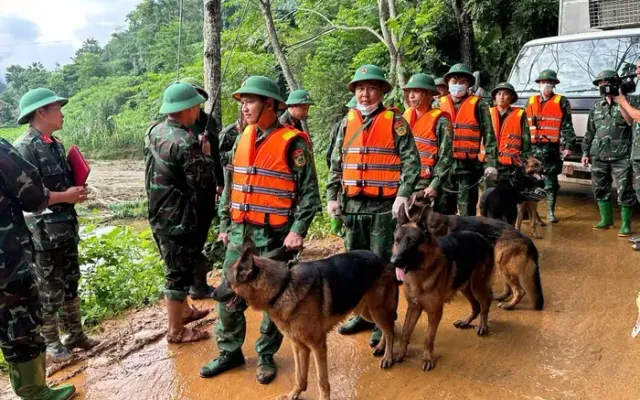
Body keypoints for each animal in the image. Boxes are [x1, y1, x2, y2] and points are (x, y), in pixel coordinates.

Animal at [212, 244, 398, 400]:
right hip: (366, 311)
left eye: (227, 281)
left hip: (376, 310)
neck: (282, 288)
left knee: (390, 331)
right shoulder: (299, 345)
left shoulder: (317, 345)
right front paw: (293, 394)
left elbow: (322, 381)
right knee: (387, 327)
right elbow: (299, 376)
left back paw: (388, 356)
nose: (212, 294)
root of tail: (381, 258)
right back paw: (381, 347)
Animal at [390, 208, 496, 370]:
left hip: (477, 285)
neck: (419, 275)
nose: (394, 262)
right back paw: (466, 322)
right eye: (397, 240)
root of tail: (482, 237)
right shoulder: (414, 307)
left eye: (412, 242)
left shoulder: (435, 312)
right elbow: (406, 331)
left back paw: (482, 325)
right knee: (476, 306)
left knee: (485, 304)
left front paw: (427, 359)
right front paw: (401, 354)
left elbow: (428, 338)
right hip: (465, 287)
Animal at [408, 195, 544, 310]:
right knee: (510, 288)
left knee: (519, 291)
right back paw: (503, 297)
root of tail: (528, 241)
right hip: (502, 265)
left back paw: (509, 305)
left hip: (503, 265)